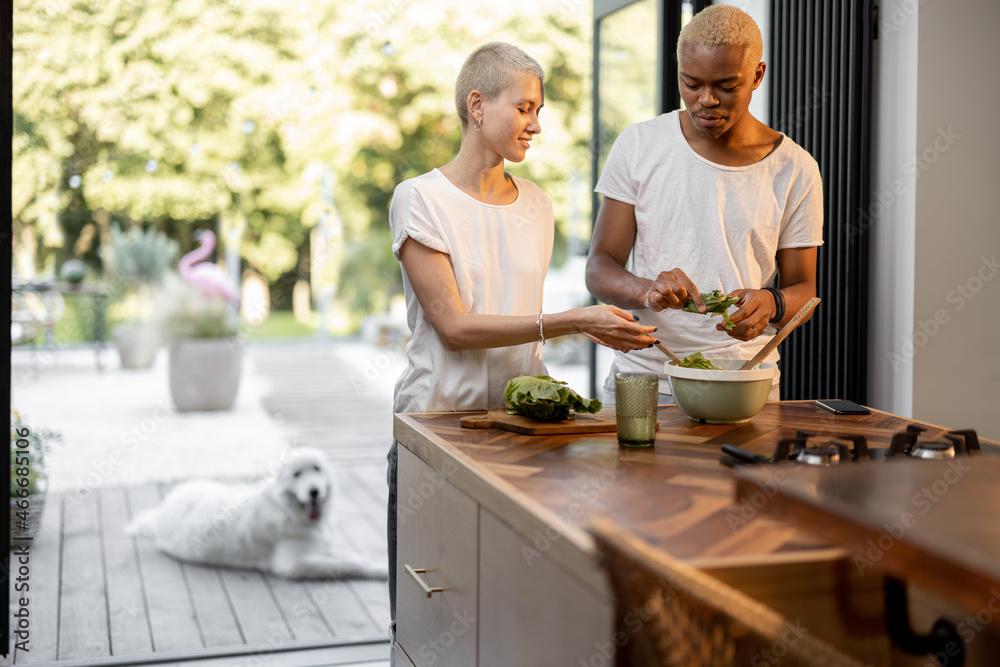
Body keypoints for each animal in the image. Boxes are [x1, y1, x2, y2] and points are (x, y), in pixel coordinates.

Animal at [124, 446, 386, 580]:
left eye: (317, 469)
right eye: (296, 475)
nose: (314, 491)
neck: (288, 511)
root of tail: (161, 510)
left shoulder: (318, 548)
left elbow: (349, 555)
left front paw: (373, 559)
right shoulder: (293, 565)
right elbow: (348, 563)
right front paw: (380, 570)